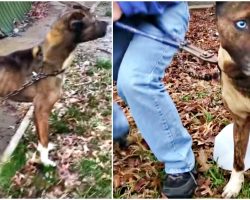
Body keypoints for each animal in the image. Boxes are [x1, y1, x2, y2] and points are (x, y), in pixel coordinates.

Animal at [0, 3, 106, 166]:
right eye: (94, 21)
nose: (107, 24)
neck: (48, 61)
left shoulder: (36, 110)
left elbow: (40, 137)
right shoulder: (42, 109)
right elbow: (44, 138)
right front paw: (45, 162)